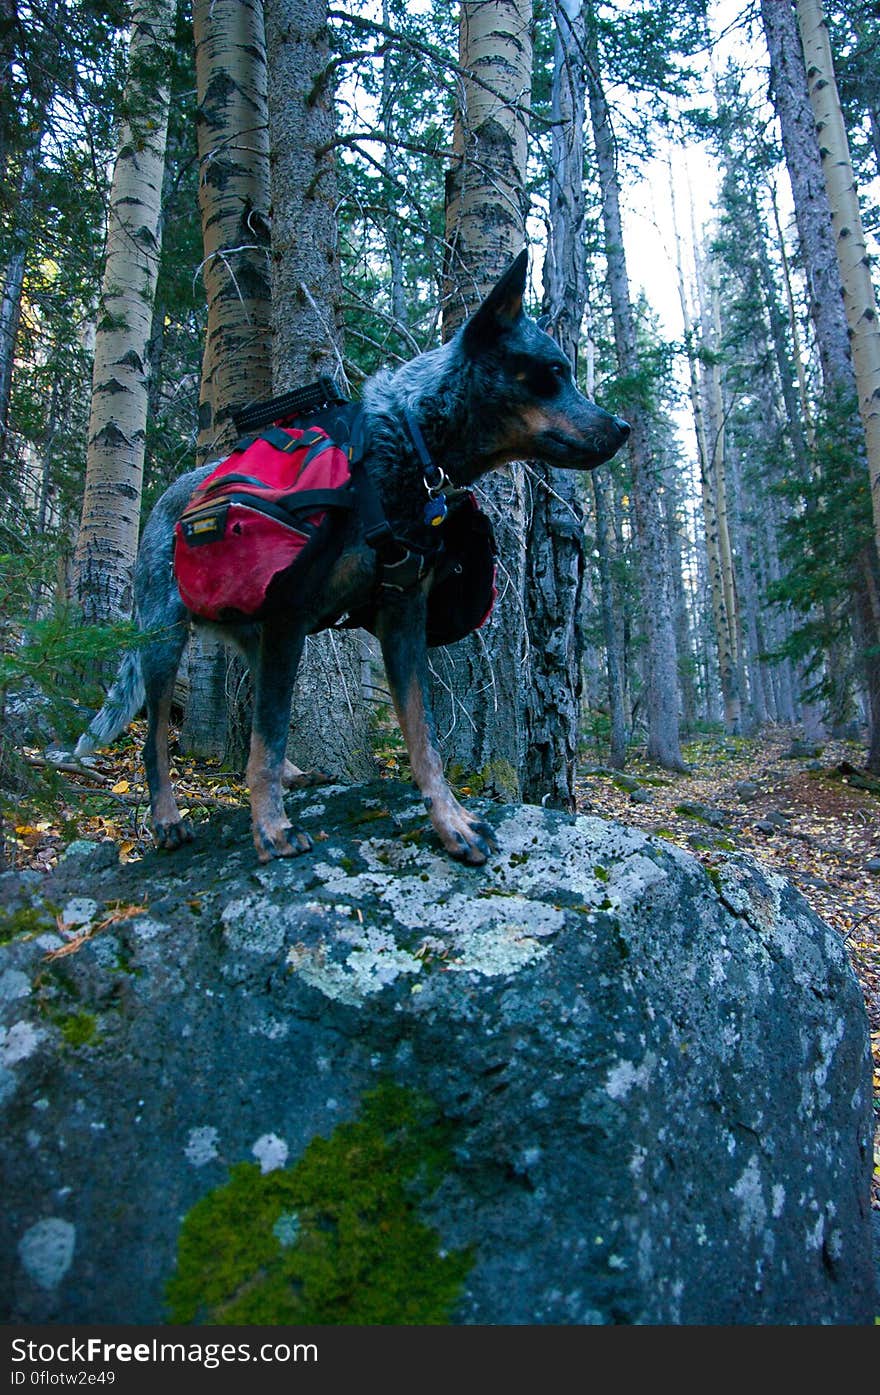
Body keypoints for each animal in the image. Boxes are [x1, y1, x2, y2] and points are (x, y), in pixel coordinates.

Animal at [73, 251, 627, 859]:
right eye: (552, 372)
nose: (623, 427)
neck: (406, 447)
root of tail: (165, 503)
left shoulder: (401, 617)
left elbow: (422, 741)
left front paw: (450, 822)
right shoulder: (291, 615)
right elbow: (267, 736)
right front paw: (271, 829)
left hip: (254, 638)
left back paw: (292, 774)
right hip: (166, 642)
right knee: (157, 741)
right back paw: (169, 819)